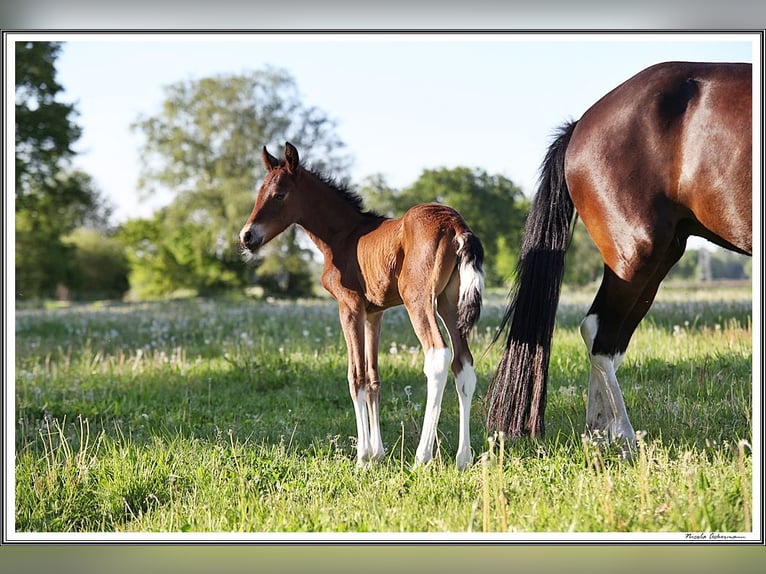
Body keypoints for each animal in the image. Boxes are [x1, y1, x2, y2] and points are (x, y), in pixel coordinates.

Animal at [239, 142, 485, 469]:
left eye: (279, 194)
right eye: (259, 192)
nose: (247, 237)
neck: (343, 235)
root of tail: (456, 224)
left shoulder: (349, 307)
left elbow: (355, 377)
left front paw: (363, 456)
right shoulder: (373, 314)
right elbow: (372, 378)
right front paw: (378, 453)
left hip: (418, 300)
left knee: (438, 355)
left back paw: (422, 456)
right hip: (449, 303)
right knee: (463, 364)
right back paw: (463, 457)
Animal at [486, 61, 752, 450]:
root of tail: (580, 126)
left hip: (658, 256)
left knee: (610, 341)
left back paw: (599, 435)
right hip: (637, 254)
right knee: (599, 331)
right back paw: (624, 440)